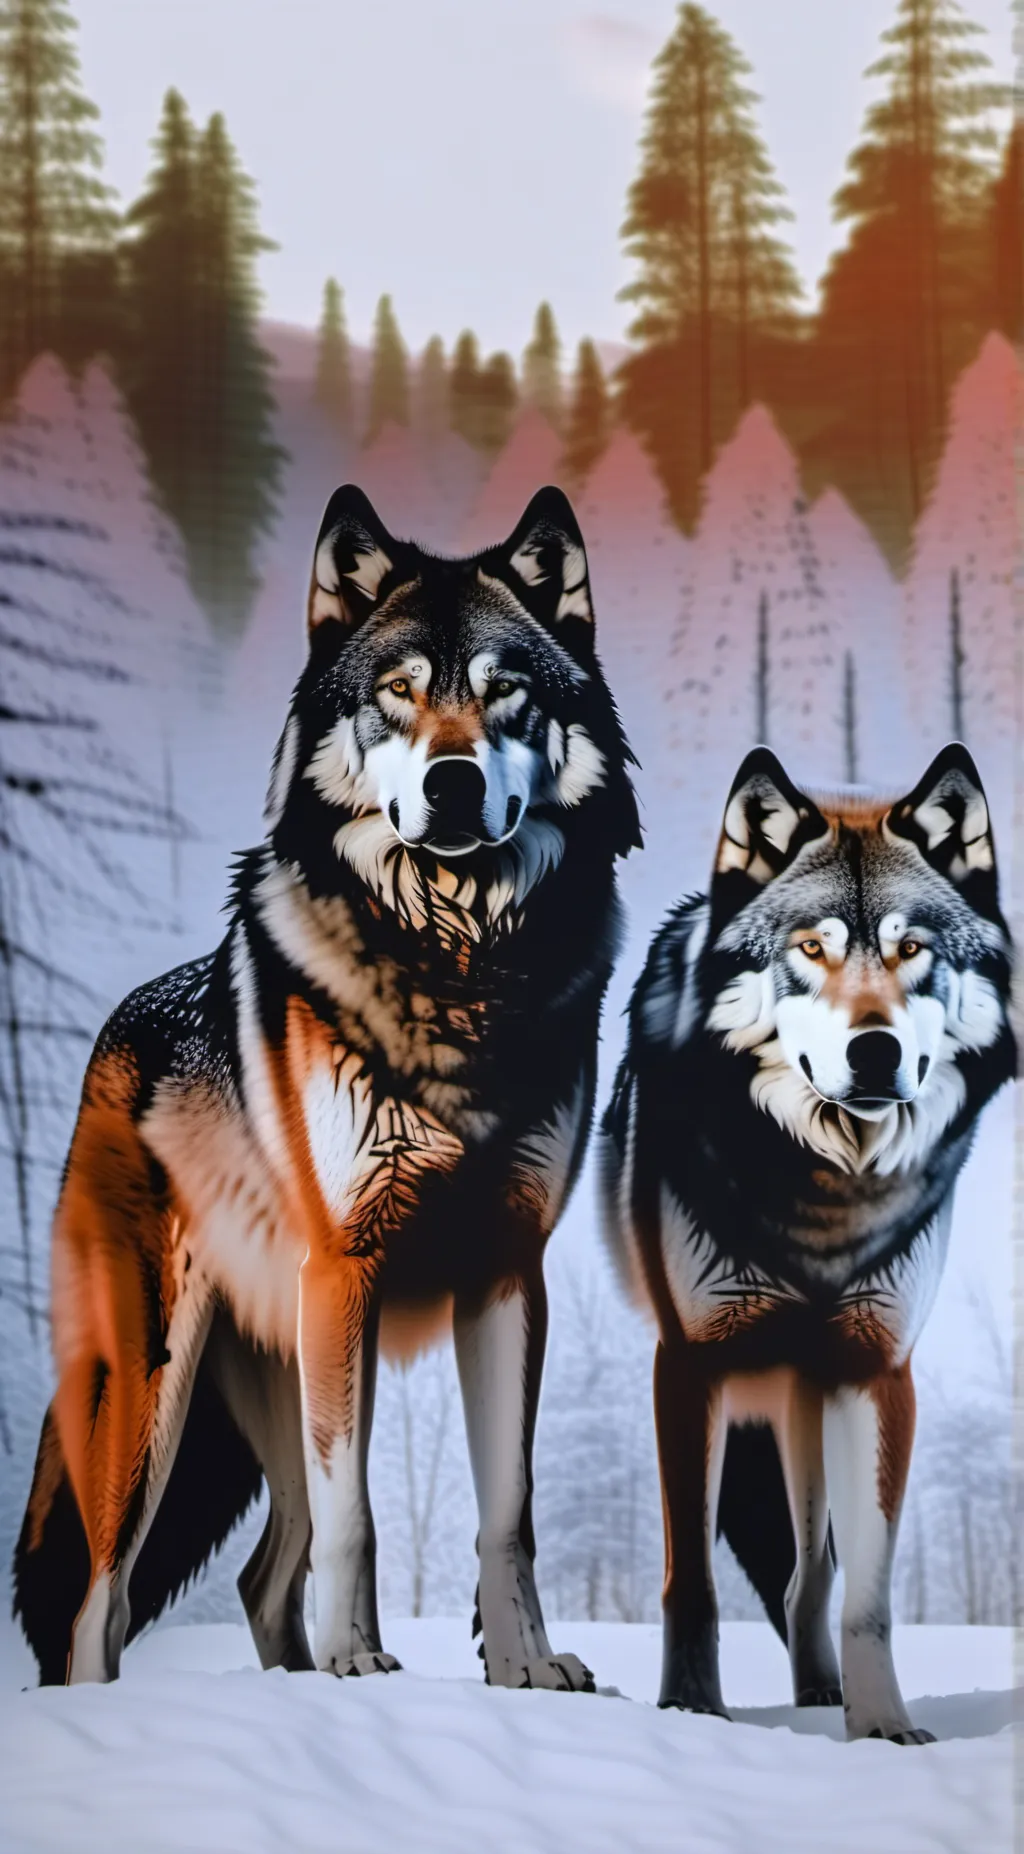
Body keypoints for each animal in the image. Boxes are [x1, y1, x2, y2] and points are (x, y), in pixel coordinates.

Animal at [14, 483, 640, 1689]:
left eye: (505, 692)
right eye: (398, 695)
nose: (453, 782)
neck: (457, 967)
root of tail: (112, 1031)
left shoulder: (507, 1277)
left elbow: (510, 1514)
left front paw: (525, 1672)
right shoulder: (348, 1269)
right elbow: (361, 1515)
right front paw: (360, 1663)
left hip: (277, 1368)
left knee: (262, 1577)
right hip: (152, 1398)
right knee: (98, 1605)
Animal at [600, 744, 1015, 1741]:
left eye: (912, 949)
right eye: (812, 947)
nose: (875, 1053)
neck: (824, 1191)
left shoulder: (878, 1370)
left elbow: (867, 1591)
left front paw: (886, 1729)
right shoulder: (692, 1362)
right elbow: (692, 1578)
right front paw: (691, 1710)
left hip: (811, 1401)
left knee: (808, 1573)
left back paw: (822, 1688)